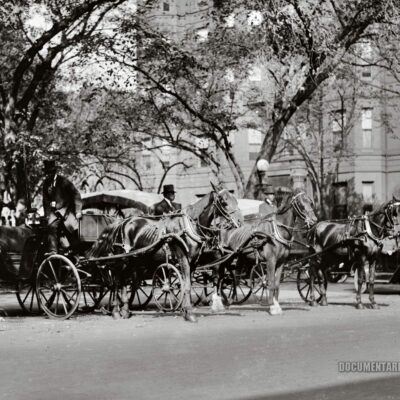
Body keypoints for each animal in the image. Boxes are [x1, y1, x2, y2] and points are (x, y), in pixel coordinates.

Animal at [87, 185, 242, 322]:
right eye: (224, 202)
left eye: (235, 199)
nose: (240, 221)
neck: (188, 227)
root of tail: (121, 222)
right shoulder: (183, 258)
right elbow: (186, 285)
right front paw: (189, 313)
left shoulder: (193, 261)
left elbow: (188, 284)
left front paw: (185, 310)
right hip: (122, 259)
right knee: (117, 281)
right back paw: (115, 311)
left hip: (132, 260)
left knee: (125, 281)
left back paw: (125, 310)